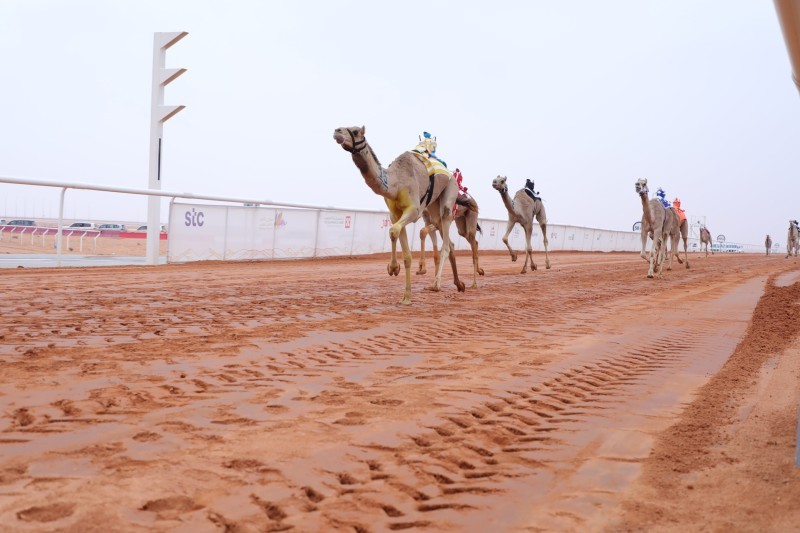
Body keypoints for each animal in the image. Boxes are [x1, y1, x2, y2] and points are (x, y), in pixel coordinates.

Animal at [332, 124, 468, 304]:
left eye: (355, 131)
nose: (337, 131)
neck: (395, 183)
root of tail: (451, 174)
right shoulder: (395, 214)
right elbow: (405, 252)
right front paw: (406, 296)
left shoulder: (414, 211)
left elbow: (392, 230)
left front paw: (393, 268)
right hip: (433, 208)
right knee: (450, 242)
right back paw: (459, 284)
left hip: (449, 194)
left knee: (446, 242)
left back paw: (436, 285)